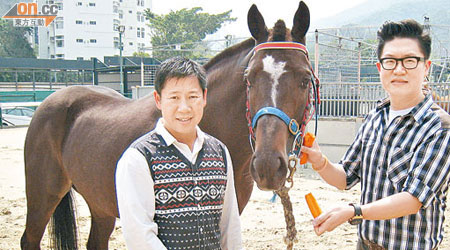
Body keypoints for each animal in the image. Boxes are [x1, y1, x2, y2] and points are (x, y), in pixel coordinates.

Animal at [20, 1, 312, 248]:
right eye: (248, 79)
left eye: (305, 79)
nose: (267, 166)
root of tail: (51, 100)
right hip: (43, 197)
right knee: (29, 239)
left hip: (99, 203)